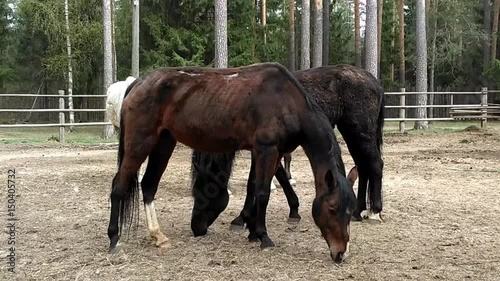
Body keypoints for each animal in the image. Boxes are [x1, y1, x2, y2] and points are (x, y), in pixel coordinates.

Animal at [108, 62, 360, 262]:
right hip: (140, 144)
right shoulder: (267, 150)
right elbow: (263, 193)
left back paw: (158, 236)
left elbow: (255, 187)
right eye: (333, 208)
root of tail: (139, 82)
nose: (341, 253)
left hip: (163, 144)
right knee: (119, 186)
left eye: (351, 210)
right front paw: (263, 236)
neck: (286, 100)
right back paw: (114, 240)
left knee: (148, 186)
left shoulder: (267, 152)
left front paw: (251, 231)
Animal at [189, 63, 384, 236]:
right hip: (351, 133)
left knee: (375, 164)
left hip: (361, 132)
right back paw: (358, 210)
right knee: (362, 167)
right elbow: (278, 176)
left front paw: (241, 219)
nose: (196, 228)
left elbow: (254, 182)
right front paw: (293, 210)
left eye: (202, 191)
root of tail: (374, 81)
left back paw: (375, 211)